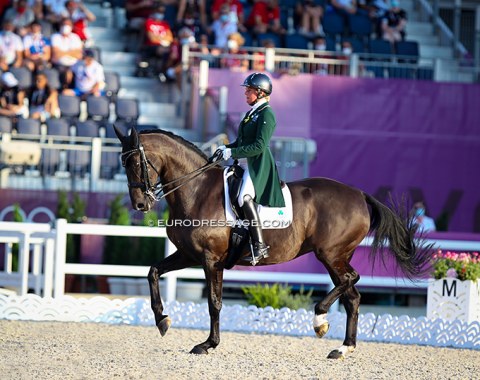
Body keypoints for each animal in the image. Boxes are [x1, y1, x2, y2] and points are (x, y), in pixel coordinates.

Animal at [113, 127, 432, 360]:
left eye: (136, 162)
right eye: (122, 163)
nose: (140, 204)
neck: (196, 190)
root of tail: (360, 194)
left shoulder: (210, 259)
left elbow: (214, 303)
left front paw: (208, 344)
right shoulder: (189, 255)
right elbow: (153, 271)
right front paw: (162, 320)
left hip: (331, 254)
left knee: (350, 280)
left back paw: (320, 320)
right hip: (336, 257)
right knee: (352, 295)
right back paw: (343, 348)